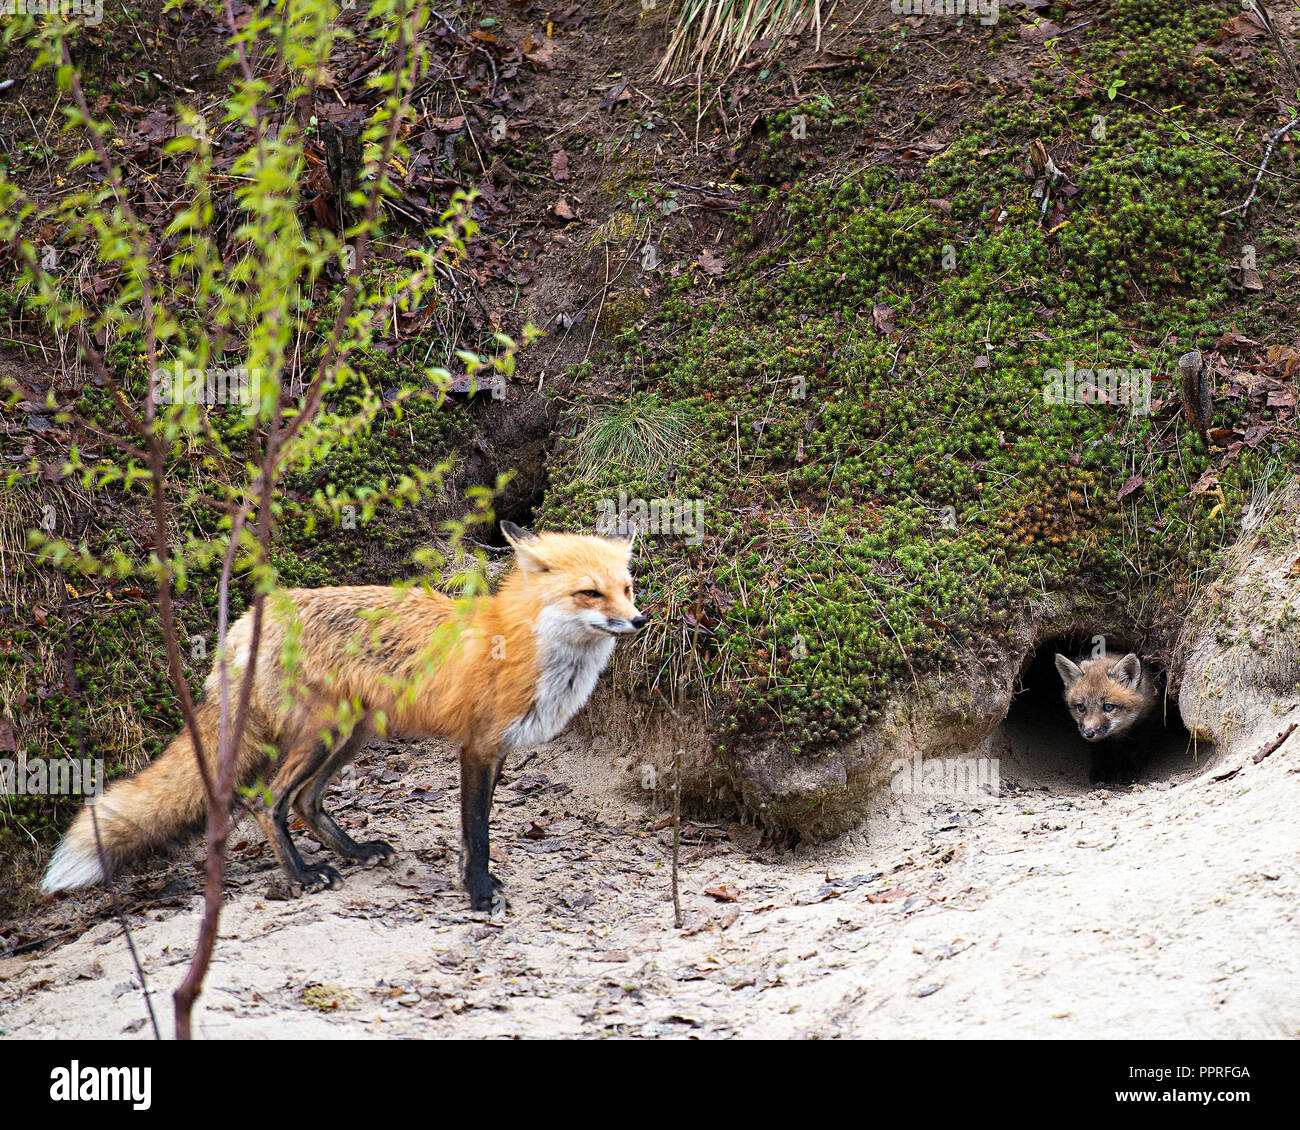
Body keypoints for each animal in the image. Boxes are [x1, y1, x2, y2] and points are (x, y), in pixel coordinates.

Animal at [41, 522, 644, 912]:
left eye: (626, 588)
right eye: (589, 593)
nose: (639, 620)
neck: (521, 643)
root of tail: (247, 622)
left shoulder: (495, 751)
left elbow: (478, 829)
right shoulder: (476, 746)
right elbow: (476, 831)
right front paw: (479, 892)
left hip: (350, 739)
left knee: (305, 801)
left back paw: (354, 852)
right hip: (321, 735)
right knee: (267, 800)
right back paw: (303, 874)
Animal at [1053, 651, 1159, 786]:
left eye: (1108, 707)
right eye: (1081, 707)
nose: (1088, 733)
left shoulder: (1144, 724)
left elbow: (1134, 752)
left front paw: (1128, 772)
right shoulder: (1098, 743)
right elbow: (1099, 754)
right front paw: (1100, 772)